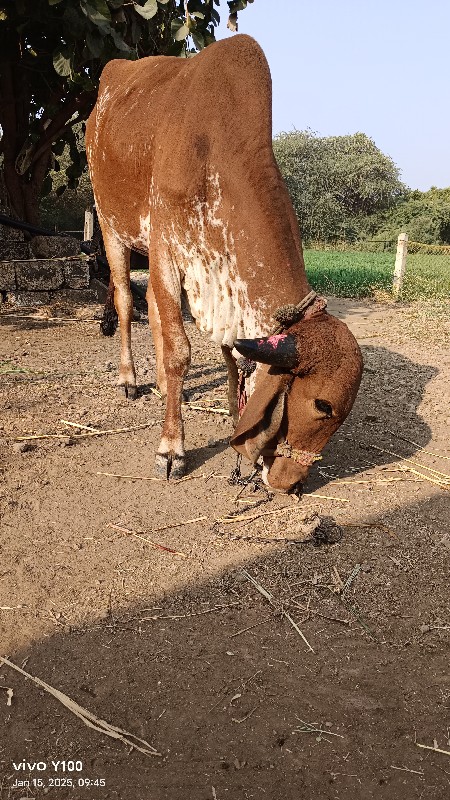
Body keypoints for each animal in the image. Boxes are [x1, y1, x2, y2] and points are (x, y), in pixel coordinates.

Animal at [86, 34, 364, 494]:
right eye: (322, 405)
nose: (290, 483)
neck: (215, 149)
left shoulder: (223, 284)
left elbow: (230, 354)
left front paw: (234, 416)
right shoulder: (166, 249)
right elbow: (180, 351)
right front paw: (171, 449)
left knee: (157, 312)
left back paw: (163, 386)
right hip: (112, 227)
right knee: (126, 301)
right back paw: (131, 379)